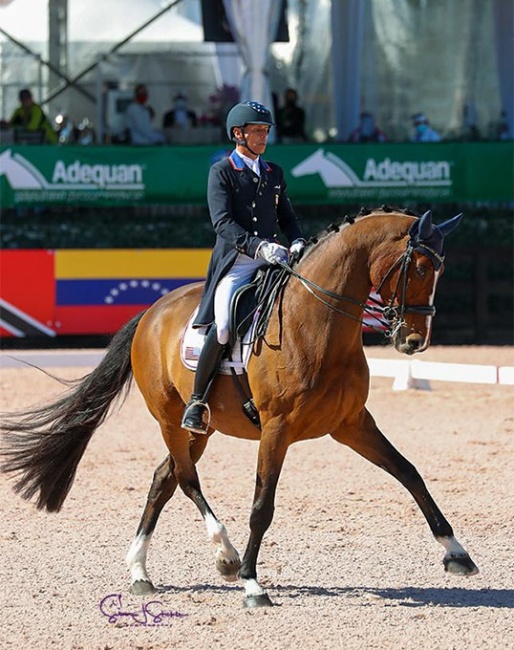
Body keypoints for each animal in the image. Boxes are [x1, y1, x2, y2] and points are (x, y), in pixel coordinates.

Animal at [2, 208, 478, 608]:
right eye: (419, 268)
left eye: (439, 269)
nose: (413, 342)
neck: (316, 324)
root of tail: (151, 313)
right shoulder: (277, 429)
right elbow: (261, 506)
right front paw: (252, 583)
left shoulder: (352, 424)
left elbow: (409, 473)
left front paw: (456, 552)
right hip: (171, 419)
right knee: (186, 479)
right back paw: (226, 556)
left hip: (202, 430)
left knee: (163, 478)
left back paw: (139, 571)